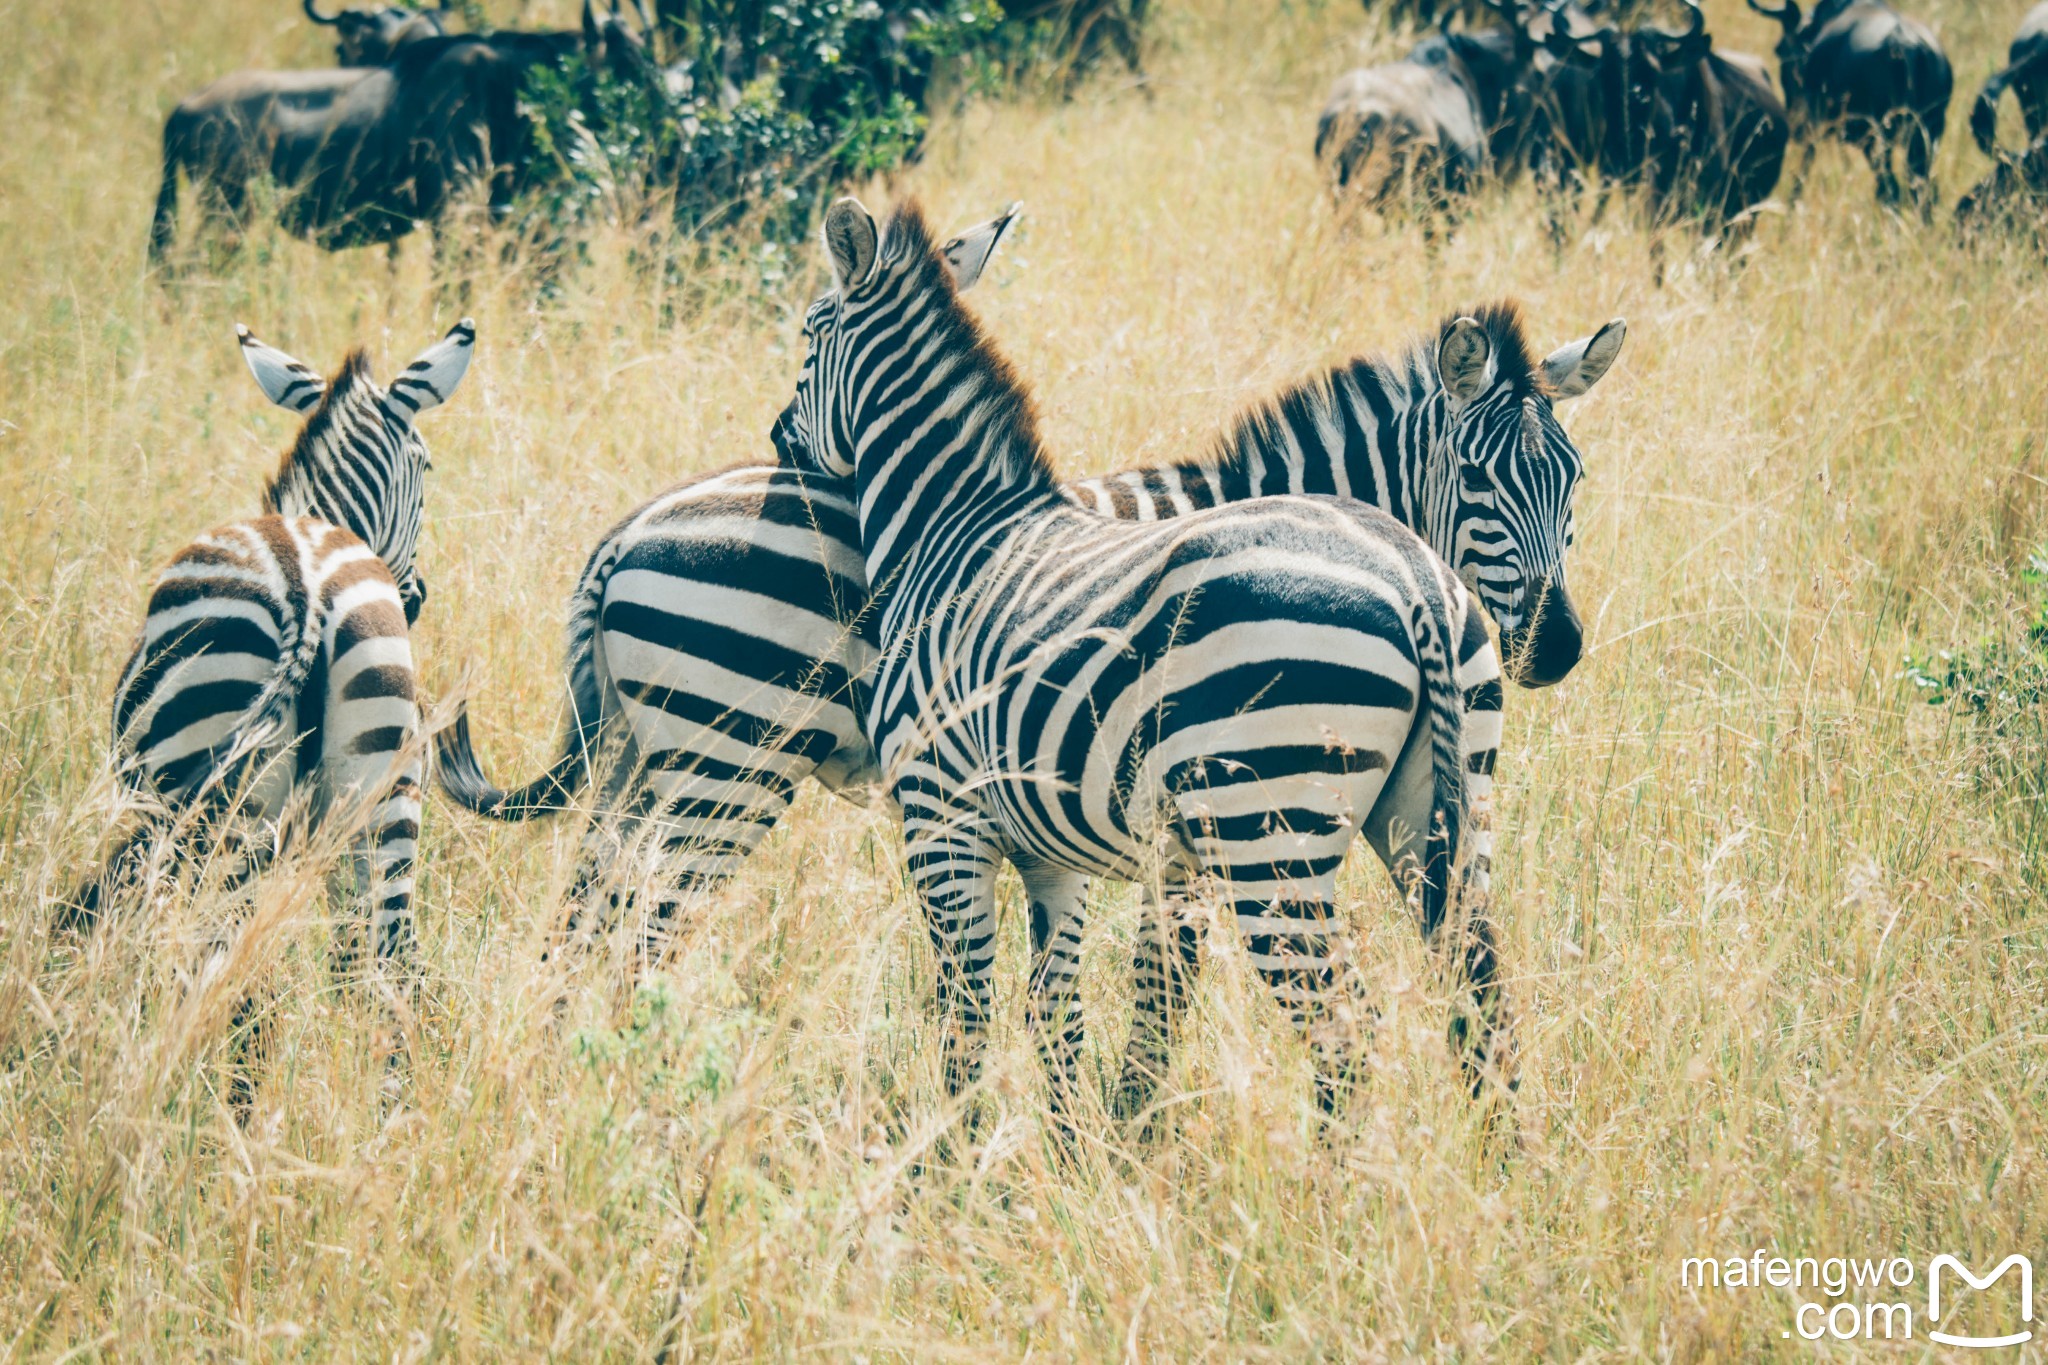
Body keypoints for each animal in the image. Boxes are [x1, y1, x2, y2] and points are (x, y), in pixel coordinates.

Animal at [68, 321, 475, 1039]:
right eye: (428, 467)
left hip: (235, 812)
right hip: (381, 791)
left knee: (225, 962)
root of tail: (307, 589)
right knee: (384, 961)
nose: (418, 597)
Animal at [770, 200, 1540, 1121]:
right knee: (1485, 1008)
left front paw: (956, 1151)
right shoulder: (1048, 847)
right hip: (1438, 810)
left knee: (1345, 1036)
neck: (950, 526)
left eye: (809, 335)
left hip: (1268, 832)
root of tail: (1414, 576)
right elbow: (1058, 1010)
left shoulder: (940, 816)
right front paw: (1076, 1147)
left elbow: (966, 1010)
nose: (778, 444)